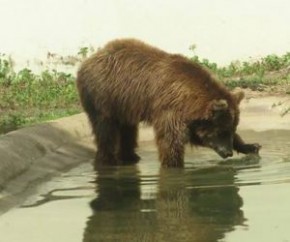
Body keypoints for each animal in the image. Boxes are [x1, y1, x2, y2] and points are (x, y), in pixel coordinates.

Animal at [76, 38, 260, 167]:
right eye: (221, 131)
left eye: (232, 129)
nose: (228, 152)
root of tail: (88, 60)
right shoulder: (169, 109)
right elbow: (171, 142)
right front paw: (174, 165)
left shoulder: (189, 115)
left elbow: (194, 135)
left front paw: (250, 146)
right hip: (103, 97)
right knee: (106, 131)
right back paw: (109, 160)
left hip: (125, 104)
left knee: (128, 131)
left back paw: (131, 156)